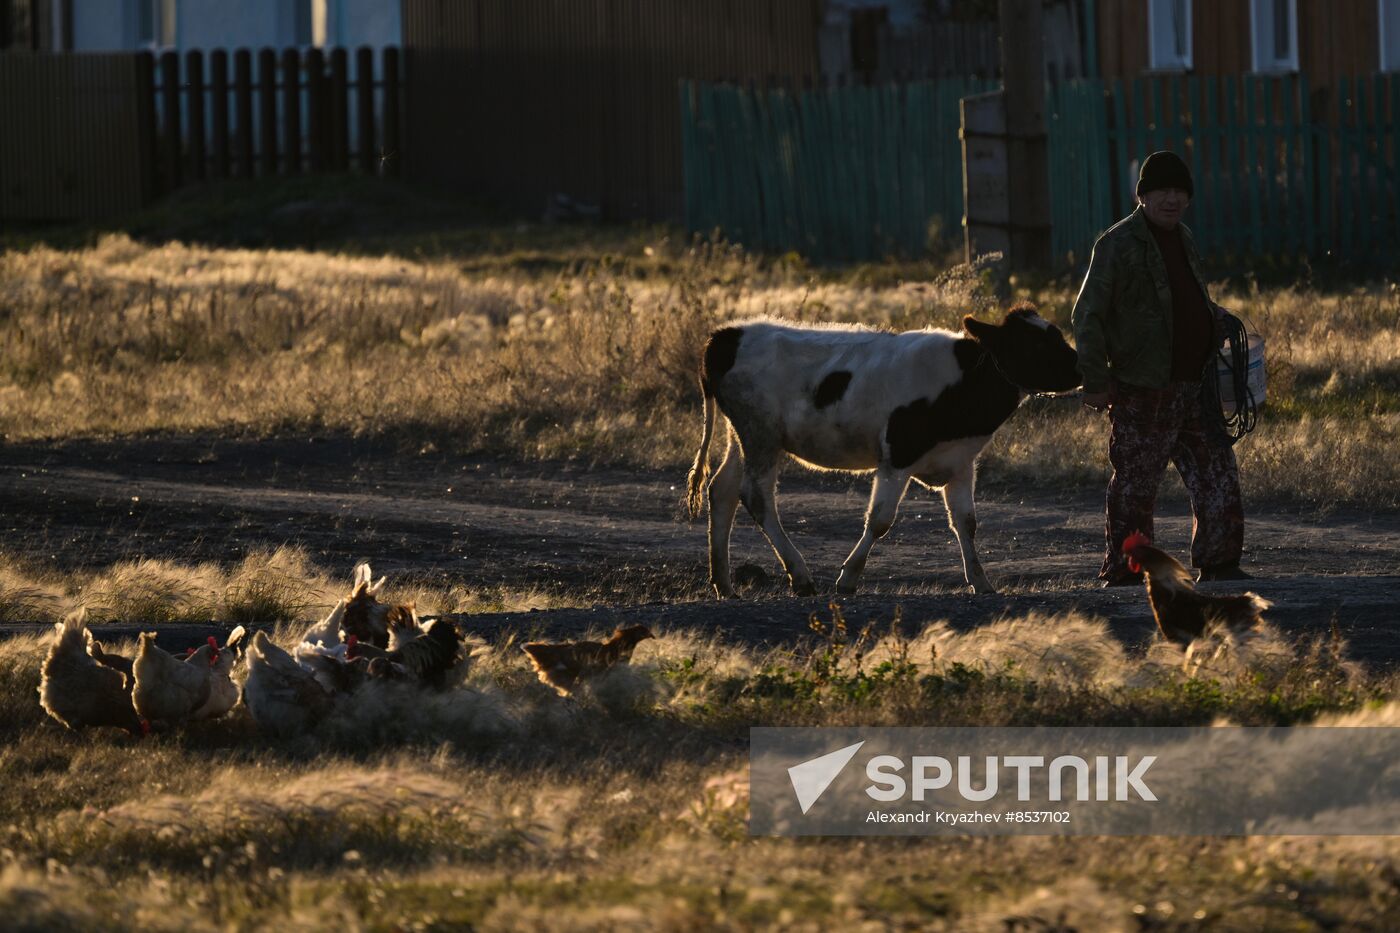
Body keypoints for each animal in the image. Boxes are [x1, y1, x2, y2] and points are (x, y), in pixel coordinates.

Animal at [688, 305, 1080, 596]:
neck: (961, 384)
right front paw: (848, 578)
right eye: (1035, 344)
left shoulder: (960, 464)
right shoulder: (897, 458)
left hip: (744, 437)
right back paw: (799, 575)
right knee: (756, 497)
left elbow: (966, 523)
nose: (1081, 369)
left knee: (722, 491)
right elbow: (880, 520)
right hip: (761, 435)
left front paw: (980, 581)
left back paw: (724, 583)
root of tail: (728, 334)